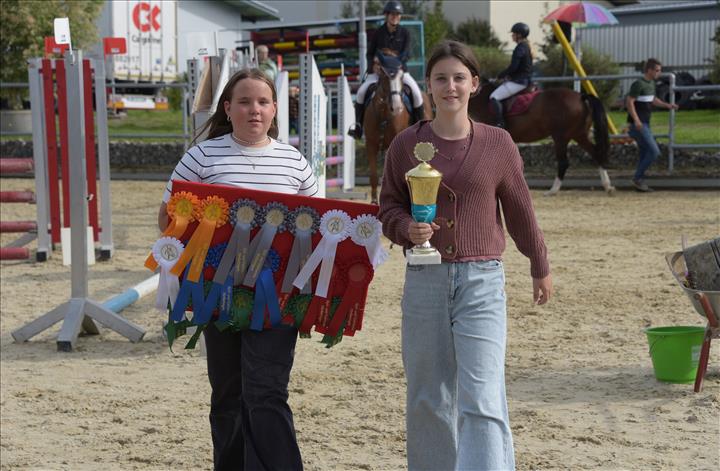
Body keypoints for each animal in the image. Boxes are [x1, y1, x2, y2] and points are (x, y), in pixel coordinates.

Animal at [364, 51, 432, 203]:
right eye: (384, 76)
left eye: (401, 77)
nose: (396, 107)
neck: (384, 115)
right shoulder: (371, 145)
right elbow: (373, 175)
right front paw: (374, 201)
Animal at [468, 80, 615, 195]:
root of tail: (581, 96)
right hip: (579, 135)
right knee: (596, 153)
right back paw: (607, 186)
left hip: (560, 137)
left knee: (563, 162)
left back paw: (552, 190)